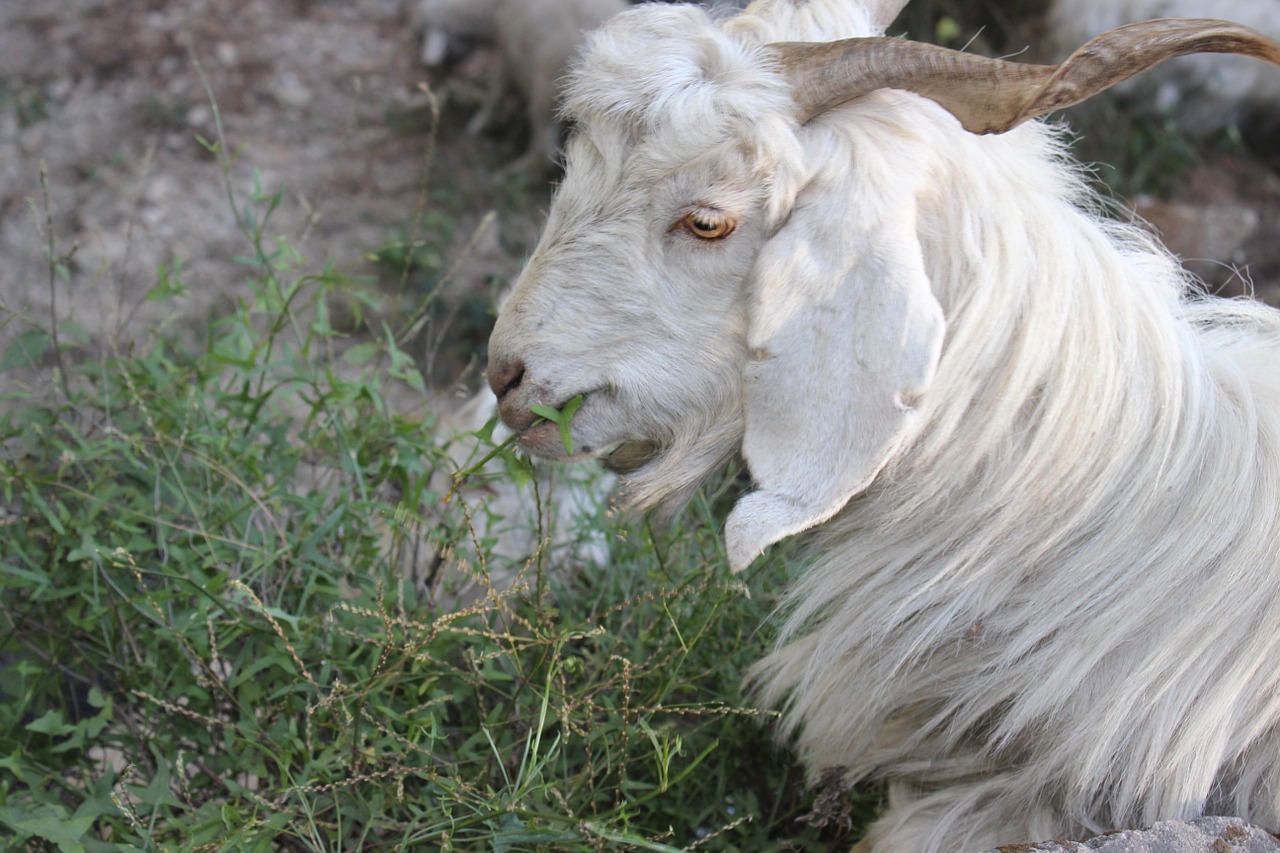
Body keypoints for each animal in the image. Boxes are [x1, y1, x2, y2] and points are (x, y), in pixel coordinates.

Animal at [412, 0, 627, 171]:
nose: (430, 71)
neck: (491, 8)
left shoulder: (509, 56)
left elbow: (497, 93)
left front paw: (478, 125)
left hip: (545, 90)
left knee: (544, 152)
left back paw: (514, 171)